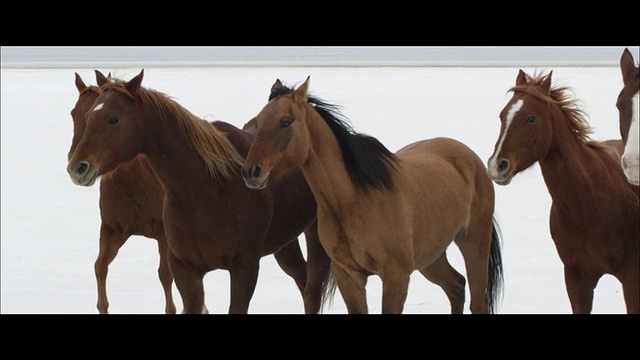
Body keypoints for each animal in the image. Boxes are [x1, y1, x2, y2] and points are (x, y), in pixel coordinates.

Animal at [67, 69, 332, 312]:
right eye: (83, 115)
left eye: (113, 119)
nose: (77, 167)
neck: (205, 190)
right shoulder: (185, 270)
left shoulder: (244, 268)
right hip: (284, 244)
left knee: (311, 289)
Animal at [241, 77, 504, 314]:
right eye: (258, 121)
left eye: (286, 122)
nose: (251, 171)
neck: (353, 200)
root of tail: (467, 156)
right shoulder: (349, 275)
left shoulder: (396, 276)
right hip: (431, 256)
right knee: (456, 287)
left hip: (474, 243)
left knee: (476, 301)